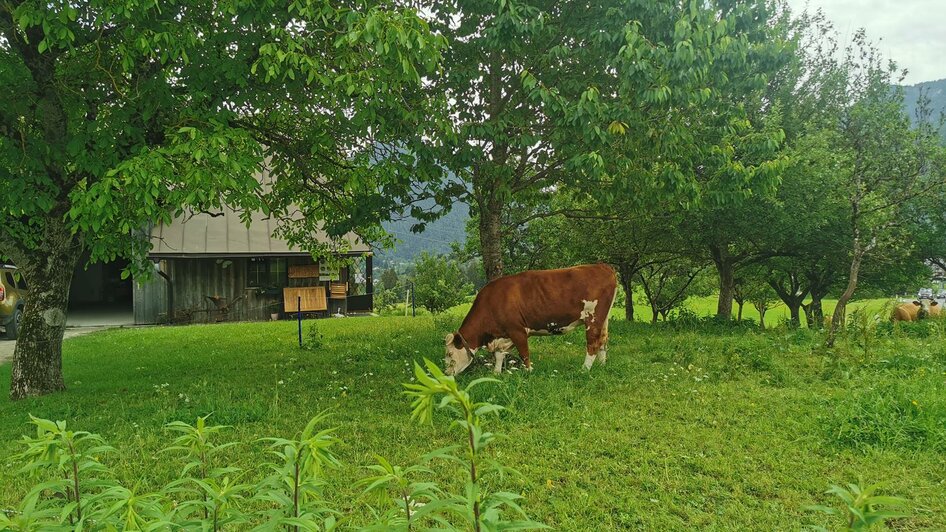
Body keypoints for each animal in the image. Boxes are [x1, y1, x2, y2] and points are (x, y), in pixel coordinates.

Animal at [444, 262, 620, 374]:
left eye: (450, 354)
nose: (446, 373)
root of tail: (602, 266)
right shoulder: (504, 334)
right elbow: (499, 355)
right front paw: (496, 373)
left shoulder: (517, 330)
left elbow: (524, 354)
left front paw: (528, 373)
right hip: (604, 318)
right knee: (603, 340)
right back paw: (602, 366)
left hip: (593, 317)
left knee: (593, 343)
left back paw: (584, 370)